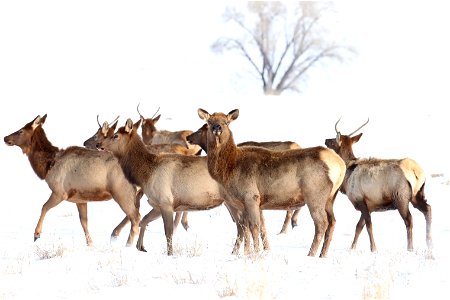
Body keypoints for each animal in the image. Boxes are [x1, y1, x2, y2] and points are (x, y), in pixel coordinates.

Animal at [3, 115, 141, 246]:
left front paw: (36, 234)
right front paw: (90, 243)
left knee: (135, 217)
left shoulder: (60, 192)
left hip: (121, 191)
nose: (5, 138)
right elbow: (84, 222)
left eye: (20, 131)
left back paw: (127, 244)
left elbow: (44, 207)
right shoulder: (80, 199)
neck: (48, 166)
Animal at [93, 119, 266, 255]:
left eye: (115, 135)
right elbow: (144, 221)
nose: (98, 144)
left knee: (243, 225)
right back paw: (237, 252)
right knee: (242, 225)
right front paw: (140, 246)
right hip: (232, 202)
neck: (145, 174)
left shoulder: (166, 201)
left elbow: (168, 232)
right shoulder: (157, 204)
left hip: (235, 200)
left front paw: (170, 253)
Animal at [196, 109, 344, 256]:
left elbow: (254, 227)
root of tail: (340, 164)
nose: (217, 128)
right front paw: (249, 252)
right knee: (333, 222)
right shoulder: (245, 203)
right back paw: (322, 255)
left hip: (314, 194)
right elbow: (250, 227)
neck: (228, 169)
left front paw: (254, 253)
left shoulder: (251, 196)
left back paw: (311, 254)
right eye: (209, 122)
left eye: (226, 122)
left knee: (322, 223)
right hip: (330, 198)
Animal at [324, 118, 432, 252]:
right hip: (417, 194)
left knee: (409, 219)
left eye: (333, 141)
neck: (347, 176)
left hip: (401, 196)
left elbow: (368, 225)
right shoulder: (369, 205)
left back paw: (410, 248)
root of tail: (416, 171)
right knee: (428, 209)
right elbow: (358, 227)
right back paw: (429, 243)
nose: (325, 140)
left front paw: (373, 248)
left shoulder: (360, 200)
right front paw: (352, 248)